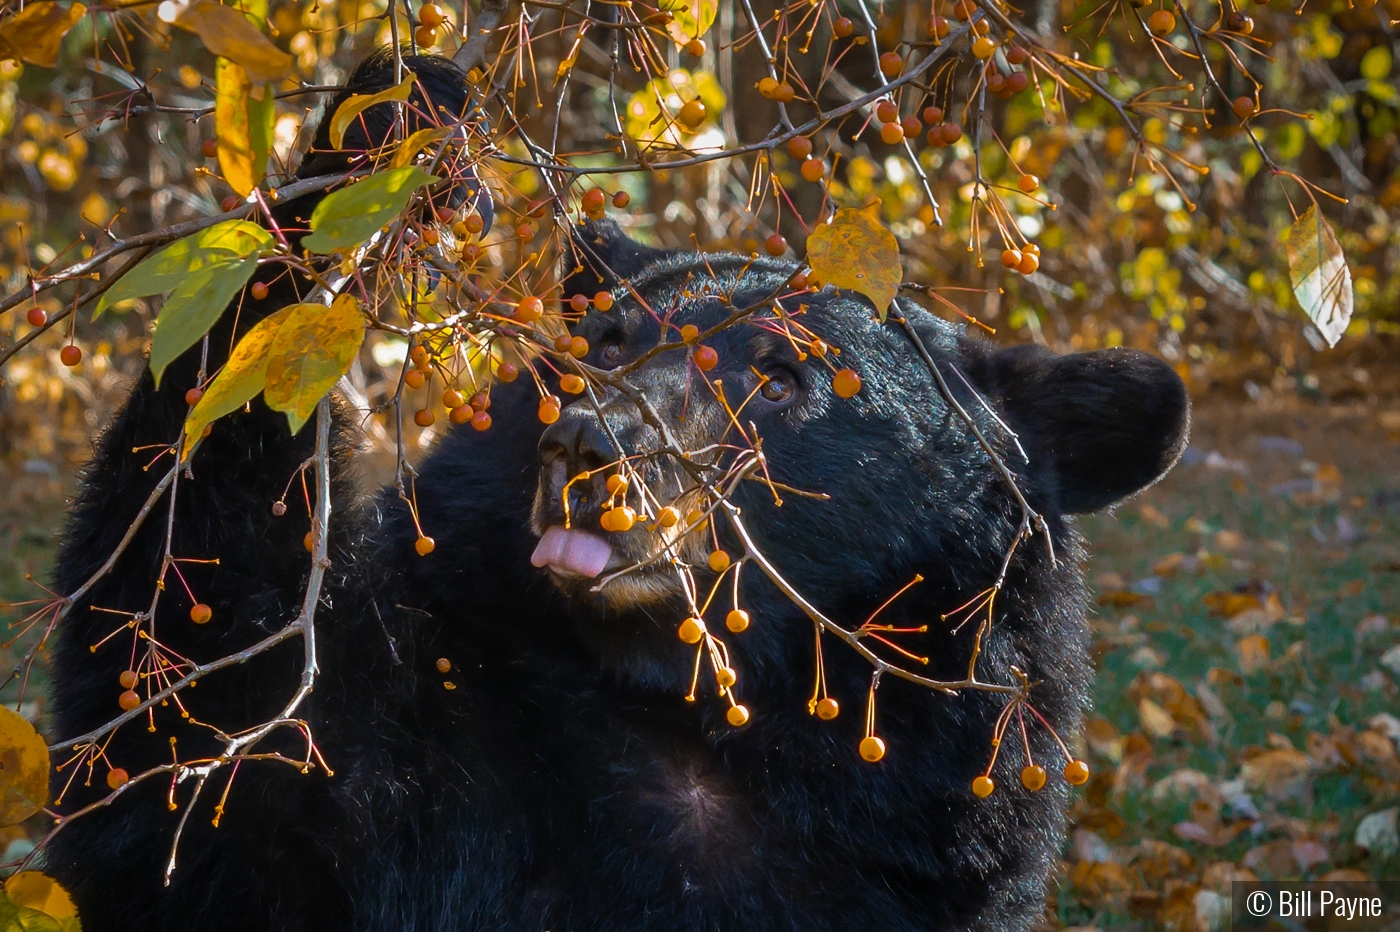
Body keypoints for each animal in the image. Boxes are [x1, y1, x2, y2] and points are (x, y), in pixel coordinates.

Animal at [43, 48, 1187, 929]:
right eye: (606, 342)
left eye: (783, 376)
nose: (592, 444)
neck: (693, 716)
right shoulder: (430, 752)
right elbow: (204, 781)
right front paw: (388, 125)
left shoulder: (914, 856)